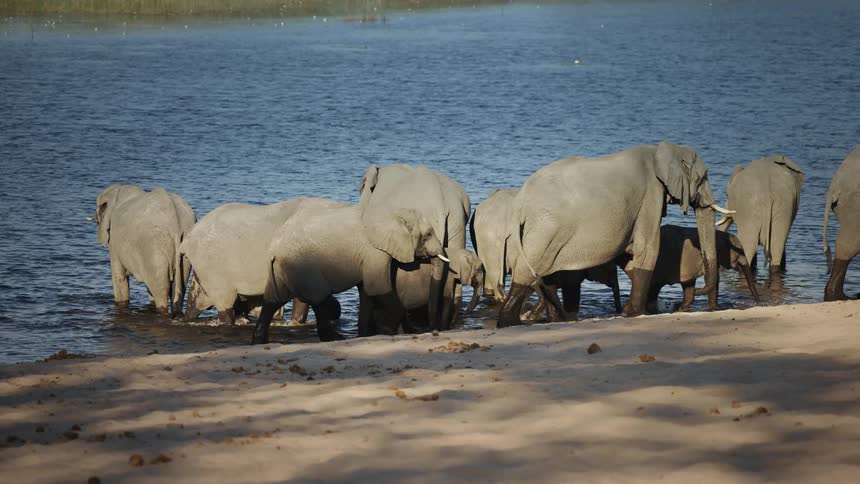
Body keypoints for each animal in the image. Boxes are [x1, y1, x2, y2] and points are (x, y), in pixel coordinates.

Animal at [92, 184, 196, 316]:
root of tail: (175, 222)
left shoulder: (115, 241)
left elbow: (119, 278)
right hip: (184, 245)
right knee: (178, 288)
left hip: (154, 247)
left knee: (161, 290)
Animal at [253, 203, 445, 344]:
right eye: (428, 234)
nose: (433, 331)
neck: (393, 212)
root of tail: (273, 250)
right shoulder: (374, 251)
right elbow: (377, 288)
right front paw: (387, 331)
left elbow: (367, 292)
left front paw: (366, 335)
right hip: (303, 267)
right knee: (320, 299)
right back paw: (335, 338)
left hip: (283, 269)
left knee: (272, 300)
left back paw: (259, 341)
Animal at [499, 142, 732, 326]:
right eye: (703, 178)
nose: (676, 304)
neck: (660, 150)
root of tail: (520, 201)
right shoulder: (651, 195)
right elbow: (647, 249)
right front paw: (638, 313)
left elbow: (631, 255)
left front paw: (631, 311)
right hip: (547, 228)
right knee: (529, 270)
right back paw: (509, 322)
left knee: (543, 275)